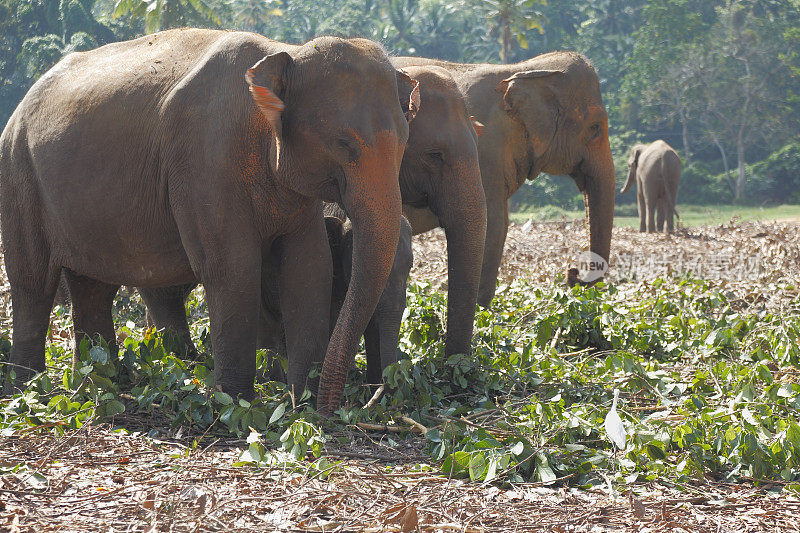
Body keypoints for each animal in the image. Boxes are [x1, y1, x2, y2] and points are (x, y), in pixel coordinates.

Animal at [0, 27, 422, 414]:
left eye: (405, 143)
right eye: (343, 144)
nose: (332, 406)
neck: (283, 54)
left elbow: (307, 267)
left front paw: (300, 406)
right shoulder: (204, 162)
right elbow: (233, 267)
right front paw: (237, 405)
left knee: (92, 287)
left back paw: (100, 384)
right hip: (18, 177)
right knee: (32, 282)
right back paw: (28, 392)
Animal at [396, 53, 616, 308]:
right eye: (595, 128)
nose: (572, 275)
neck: (520, 70)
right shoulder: (487, 151)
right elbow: (495, 223)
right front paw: (481, 309)